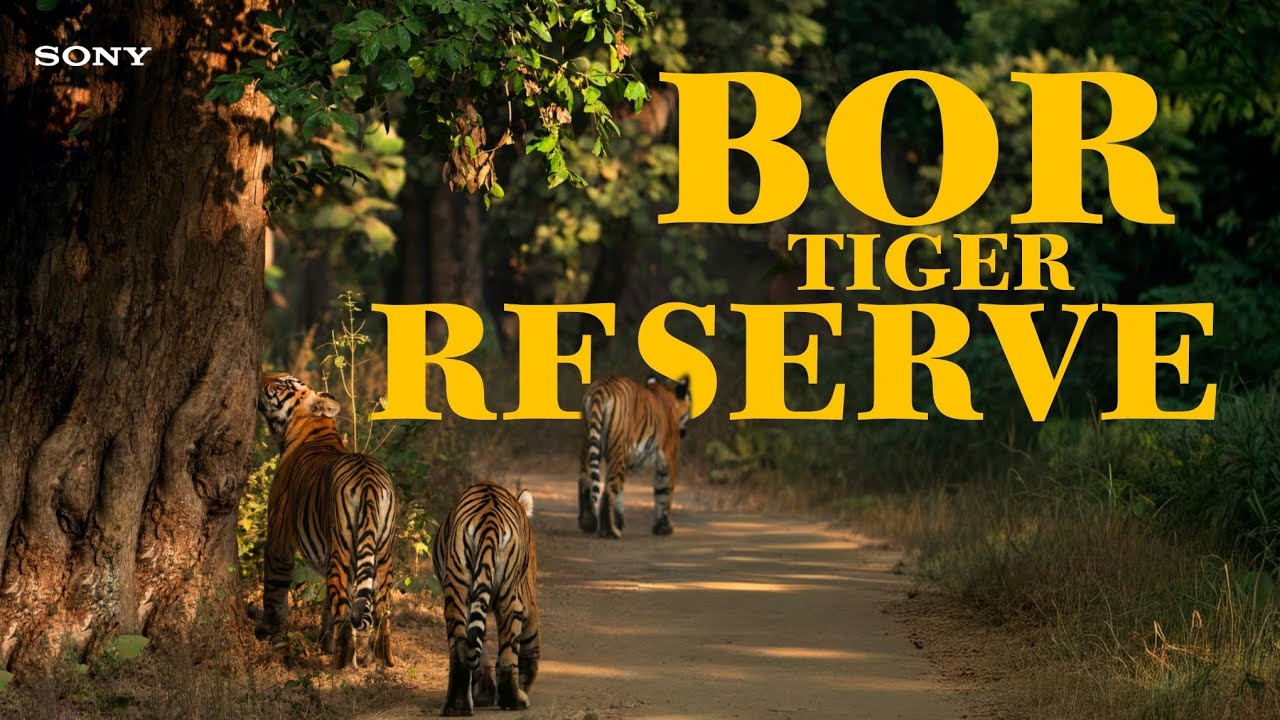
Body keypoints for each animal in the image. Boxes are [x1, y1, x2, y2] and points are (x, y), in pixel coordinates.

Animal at [255, 372, 397, 670]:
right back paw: (380, 661)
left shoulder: (279, 534)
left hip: (341, 552)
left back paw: (341, 664)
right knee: (380, 611)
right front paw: (323, 642)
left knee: (344, 611)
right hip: (383, 555)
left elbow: (274, 587)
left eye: (283, 383)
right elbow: (326, 610)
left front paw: (268, 630)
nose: (261, 375)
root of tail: (369, 481)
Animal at [432, 482, 540, 716]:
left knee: (461, 650)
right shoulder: (528, 599)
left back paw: (457, 706)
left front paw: (483, 694)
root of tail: (489, 517)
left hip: (456, 590)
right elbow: (530, 644)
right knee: (509, 653)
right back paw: (514, 700)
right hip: (511, 596)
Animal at [578, 374, 691, 539]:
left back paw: (588, 523)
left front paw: (619, 521)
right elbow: (664, 492)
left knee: (585, 482)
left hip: (589, 443)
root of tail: (601, 388)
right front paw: (664, 528)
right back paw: (611, 532)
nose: (684, 432)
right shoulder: (668, 458)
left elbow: (620, 494)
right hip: (618, 449)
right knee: (608, 491)